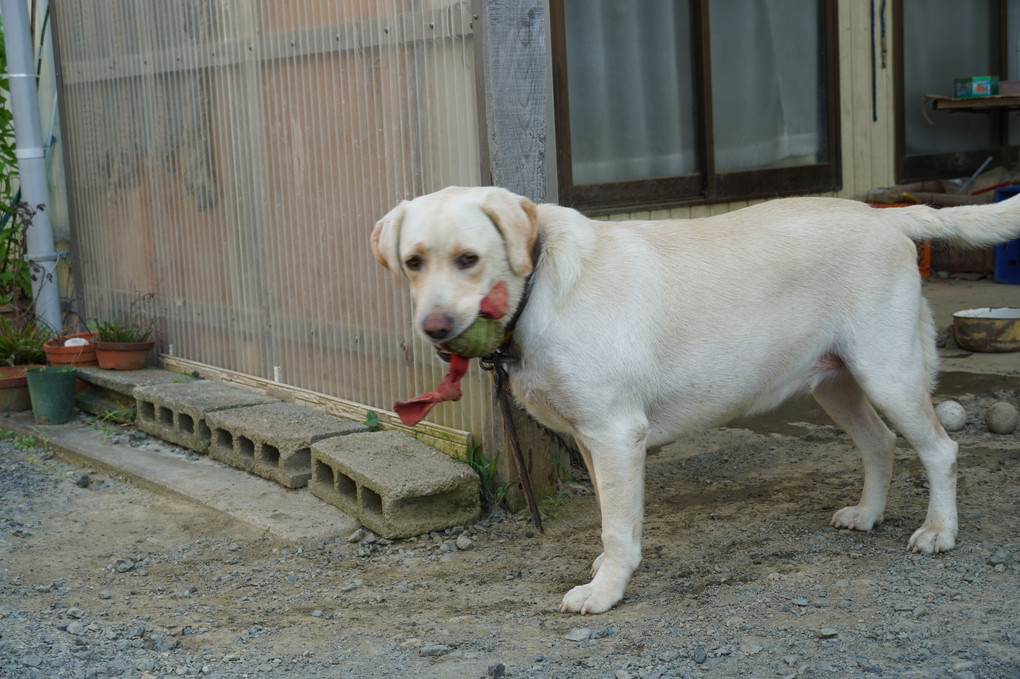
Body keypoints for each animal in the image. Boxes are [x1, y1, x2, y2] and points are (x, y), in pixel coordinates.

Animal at [375, 185, 1020, 611]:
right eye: (412, 263)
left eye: (468, 259)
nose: (434, 328)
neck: (539, 288)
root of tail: (887, 218)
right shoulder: (591, 439)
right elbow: (613, 516)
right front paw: (610, 569)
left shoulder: (614, 433)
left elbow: (616, 526)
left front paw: (605, 590)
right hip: (836, 382)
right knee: (881, 444)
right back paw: (868, 514)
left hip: (889, 373)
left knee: (941, 450)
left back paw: (939, 532)